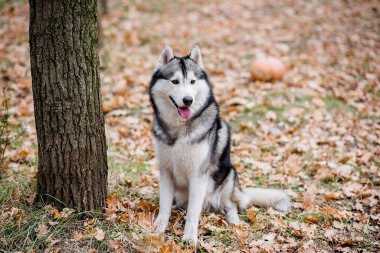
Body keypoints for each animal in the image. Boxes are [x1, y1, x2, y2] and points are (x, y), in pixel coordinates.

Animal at [149, 45, 290, 243]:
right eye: (175, 81)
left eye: (192, 81)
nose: (188, 100)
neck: (179, 129)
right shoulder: (166, 171)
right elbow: (164, 205)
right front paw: (159, 227)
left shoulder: (198, 176)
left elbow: (193, 212)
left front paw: (189, 238)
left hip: (229, 175)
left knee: (231, 205)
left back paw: (234, 221)